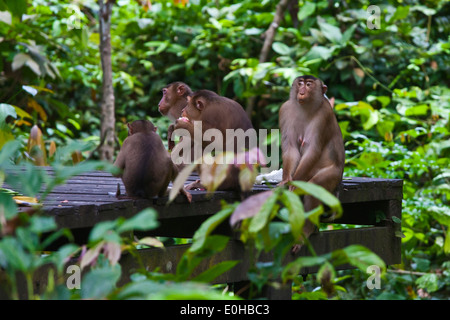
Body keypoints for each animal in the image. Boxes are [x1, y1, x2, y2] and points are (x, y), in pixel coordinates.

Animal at [280, 75, 346, 250]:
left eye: (309, 84)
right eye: (300, 83)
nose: (302, 92)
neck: (306, 107)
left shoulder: (324, 114)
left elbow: (312, 149)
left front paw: (294, 182)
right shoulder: (285, 110)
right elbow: (291, 148)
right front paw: (286, 179)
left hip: (333, 174)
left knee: (314, 186)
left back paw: (305, 233)